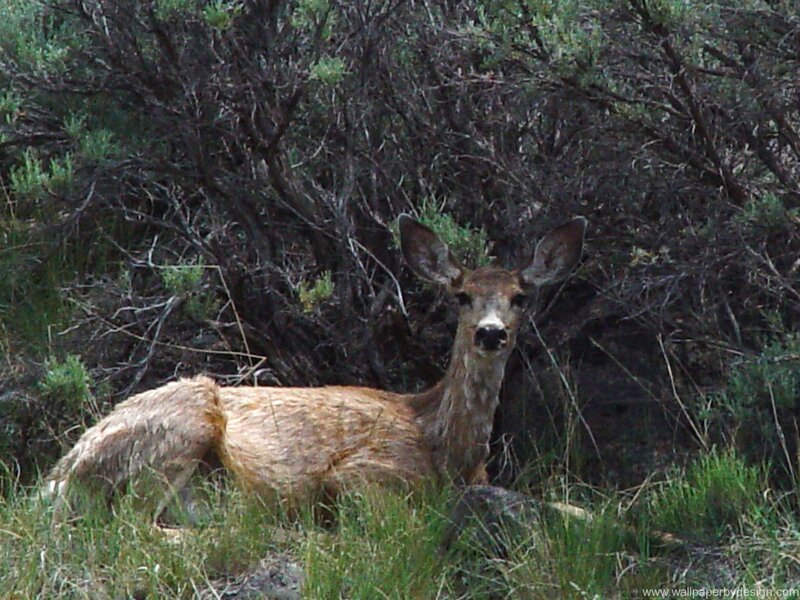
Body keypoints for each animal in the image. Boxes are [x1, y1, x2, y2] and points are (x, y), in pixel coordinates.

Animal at [44, 214, 587, 523]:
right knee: (129, 529)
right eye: (462, 296)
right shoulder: (359, 472)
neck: (444, 447)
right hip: (184, 420)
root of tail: (60, 476)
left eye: (520, 297)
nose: (491, 333)